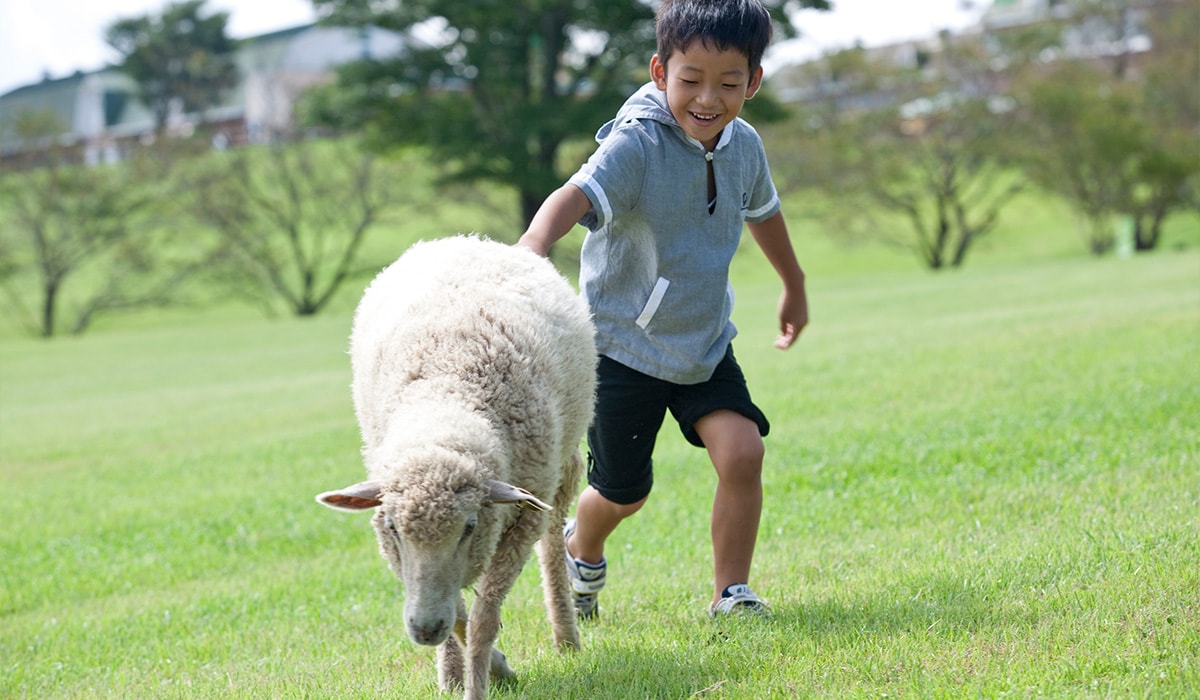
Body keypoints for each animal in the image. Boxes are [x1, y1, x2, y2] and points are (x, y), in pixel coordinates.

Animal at [314, 235, 595, 700]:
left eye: (469, 527)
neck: (447, 392)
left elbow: (481, 620)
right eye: (392, 527)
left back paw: (566, 636)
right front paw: (486, 667)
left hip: (560, 472)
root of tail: (475, 241)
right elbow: (460, 615)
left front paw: (483, 682)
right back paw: (449, 672)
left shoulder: (518, 518)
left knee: (554, 545)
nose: (424, 629)